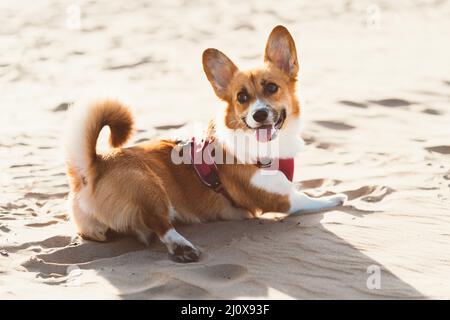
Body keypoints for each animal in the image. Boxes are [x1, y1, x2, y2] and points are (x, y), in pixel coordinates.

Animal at [65, 25, 348, 262]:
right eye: (241, 97)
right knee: (159, 223)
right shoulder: (284, 199)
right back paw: (182, 247)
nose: (258, 115)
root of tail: (95, 164)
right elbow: (310, 200)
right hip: (148, 185)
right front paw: (335, 197)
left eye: (271, 88)